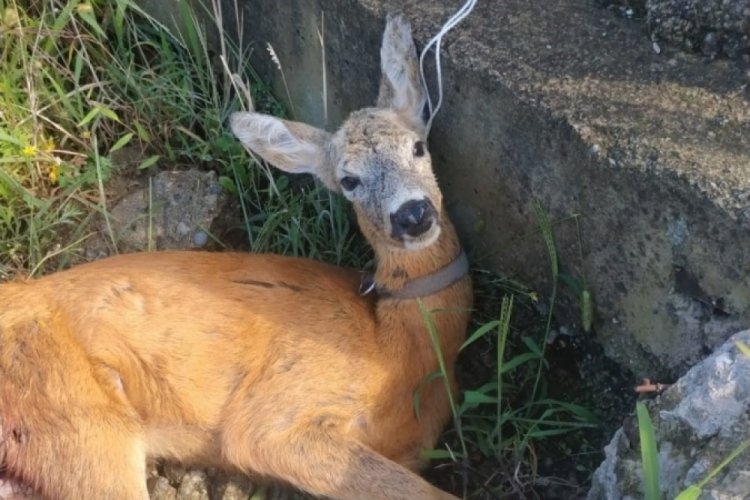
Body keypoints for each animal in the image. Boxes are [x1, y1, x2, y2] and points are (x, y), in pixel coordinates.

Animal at [0, 12, 470, 500]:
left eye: (418, 147)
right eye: (349, 180)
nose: (412, 214)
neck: (399, 348)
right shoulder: (273, 417)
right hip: (78, 418)